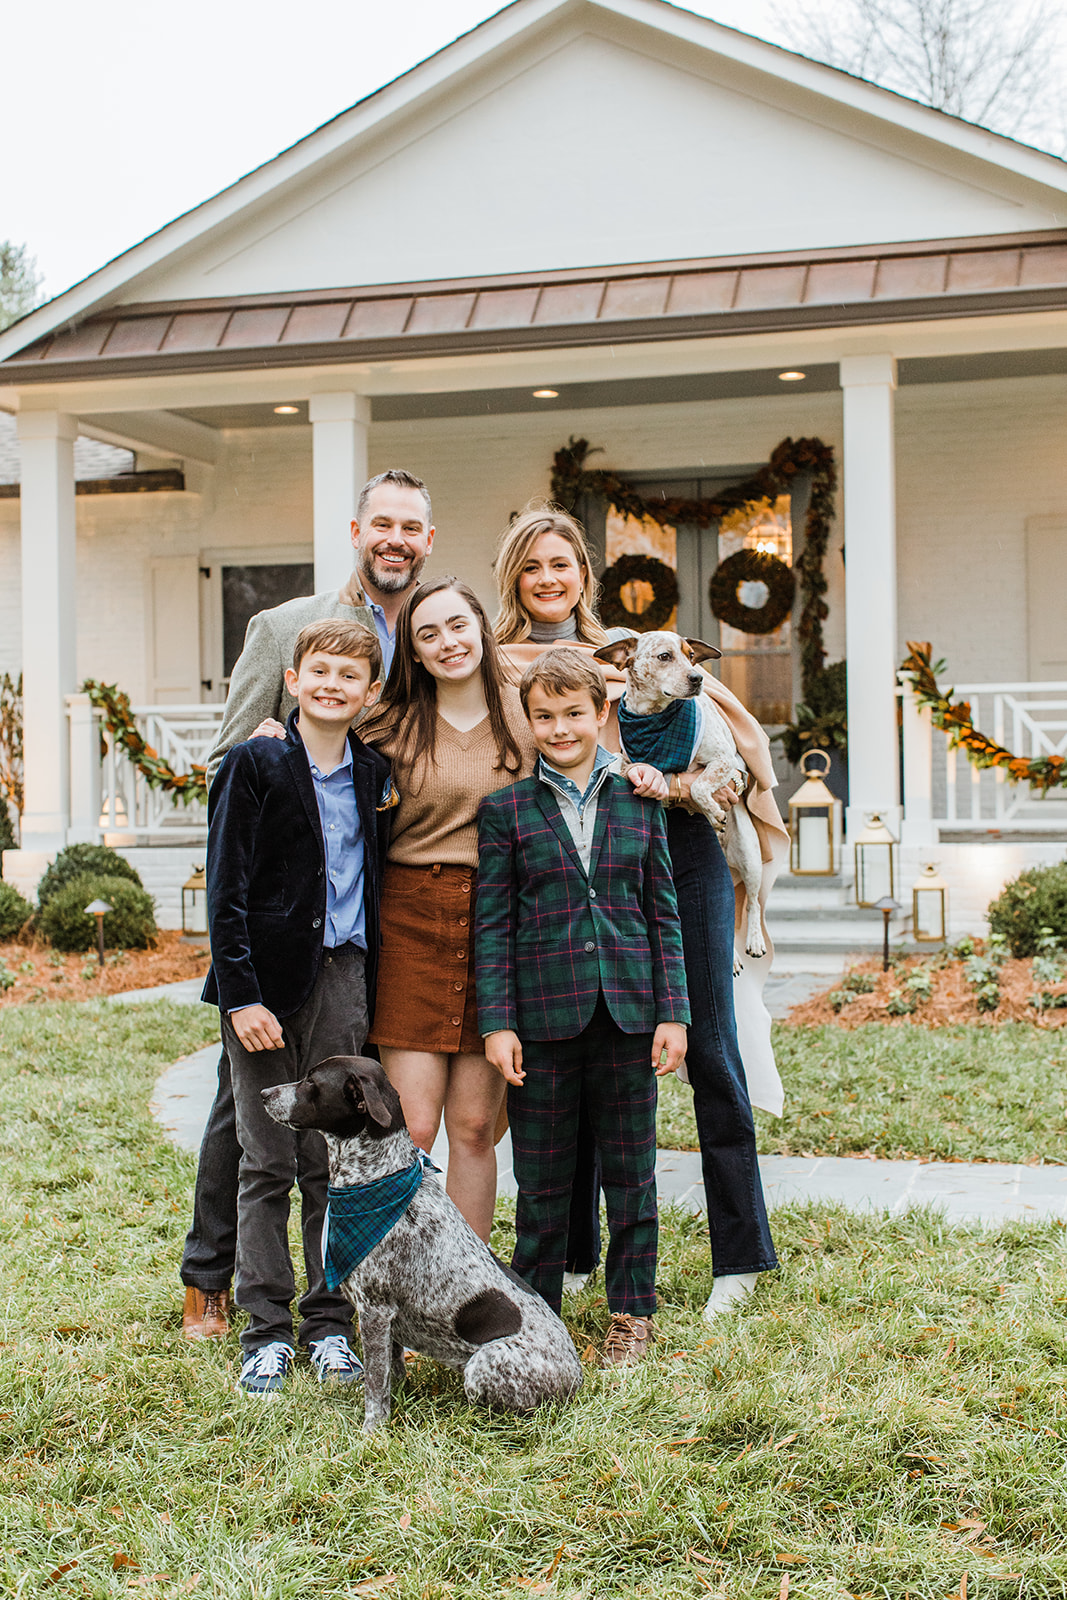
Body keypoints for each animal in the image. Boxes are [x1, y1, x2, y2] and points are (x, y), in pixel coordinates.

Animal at [265, 1056, 585, 1433]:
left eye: (311, 1082)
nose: (264, 1093)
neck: (378, 1176)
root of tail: (577, 1381)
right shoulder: (385, 1322)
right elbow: (391, 1371)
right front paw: (396, 1401)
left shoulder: (374, 1311)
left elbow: (376, 1382)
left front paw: (372, 1430)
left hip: (484, 1363)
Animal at [591, 633, 767, 960]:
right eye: (664, 656)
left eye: (691, 656)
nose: (698, 679)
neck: (653, 718)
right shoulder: (629, 758)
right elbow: (621, 765)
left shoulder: (725, 760)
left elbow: (698, 786)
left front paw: (714, 812)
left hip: (751, 859)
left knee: (753, 902)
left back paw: (754, 940)